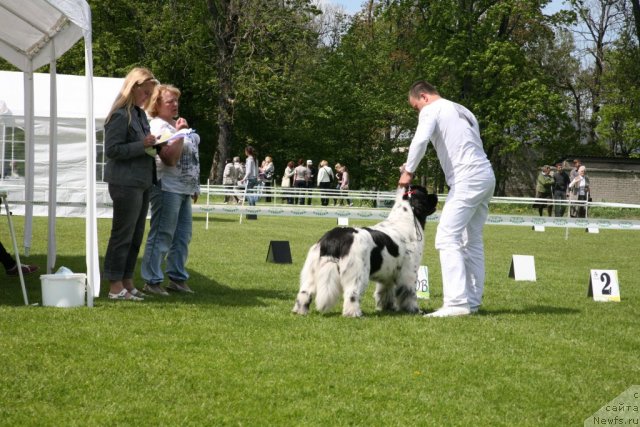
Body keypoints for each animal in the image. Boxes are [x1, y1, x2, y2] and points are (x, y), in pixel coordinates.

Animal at [292, 187, 438, 318]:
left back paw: (300, 311)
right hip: (358, 272)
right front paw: (414, 310)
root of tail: (334, 238)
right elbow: (409, 293)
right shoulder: (409, 272)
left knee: (304, 292)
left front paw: (388, 308)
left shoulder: (387, 275)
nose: (436, 195)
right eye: (426, 194)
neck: (406, 220)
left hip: (312, 270)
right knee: (352, 294)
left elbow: (385, 291)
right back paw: (354, 314)